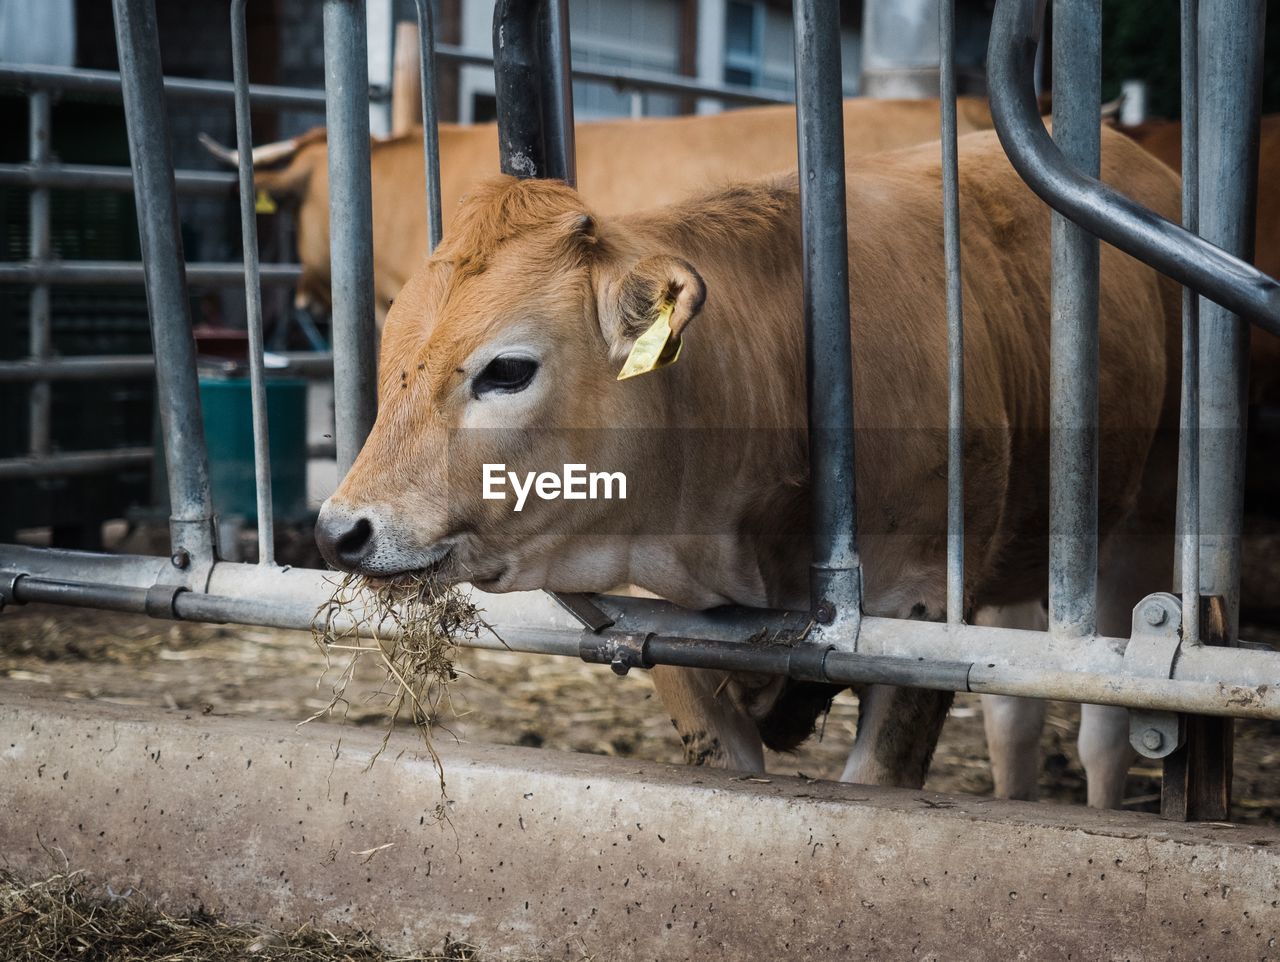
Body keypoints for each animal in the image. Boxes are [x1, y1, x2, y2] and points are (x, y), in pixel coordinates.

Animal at [317, 126, 1177, 788]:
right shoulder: (665, 616)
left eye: (506, 370)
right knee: (1014, 713)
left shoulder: (921, 609)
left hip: (1143, 532)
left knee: (1107, 728)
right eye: (392, 356)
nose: (340, 531)